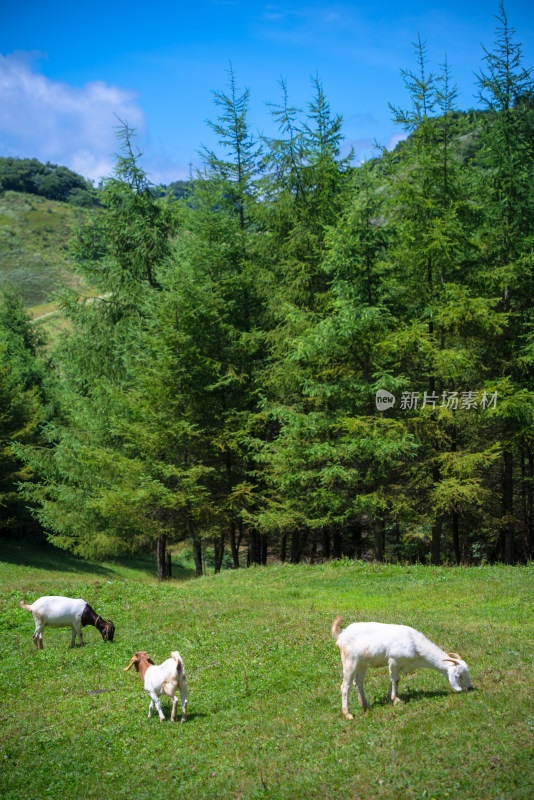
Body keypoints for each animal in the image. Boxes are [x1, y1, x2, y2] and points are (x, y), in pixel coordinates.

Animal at [332, 616, 476, 720]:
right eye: (459, 675)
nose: (470, 688)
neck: (415, 645)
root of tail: (341, 634)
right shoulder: (393, 660)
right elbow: (395, 679)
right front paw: (396, 700)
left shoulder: (400, 665)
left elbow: (394, 680)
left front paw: (390, 697)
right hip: (350, 661)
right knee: (345, 686)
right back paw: (347, 714)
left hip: (362, 664)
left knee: (358, 682)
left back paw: (365, 705)